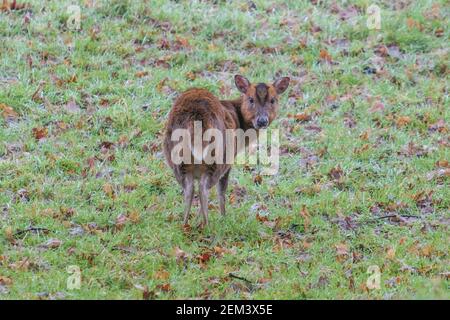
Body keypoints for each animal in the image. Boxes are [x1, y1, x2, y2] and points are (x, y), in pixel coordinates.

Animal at [163, 74, 290, 226]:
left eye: (273, 100)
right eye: (250, 99)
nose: (262, 121)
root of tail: (196, 120)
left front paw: (198, 217)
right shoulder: (230, 160)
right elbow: (221, 189)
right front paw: (223, 217)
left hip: (176, 158)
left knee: (189, 189)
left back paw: (185, 224)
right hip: (219, 157)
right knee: (204, 188)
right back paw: (207, 224)